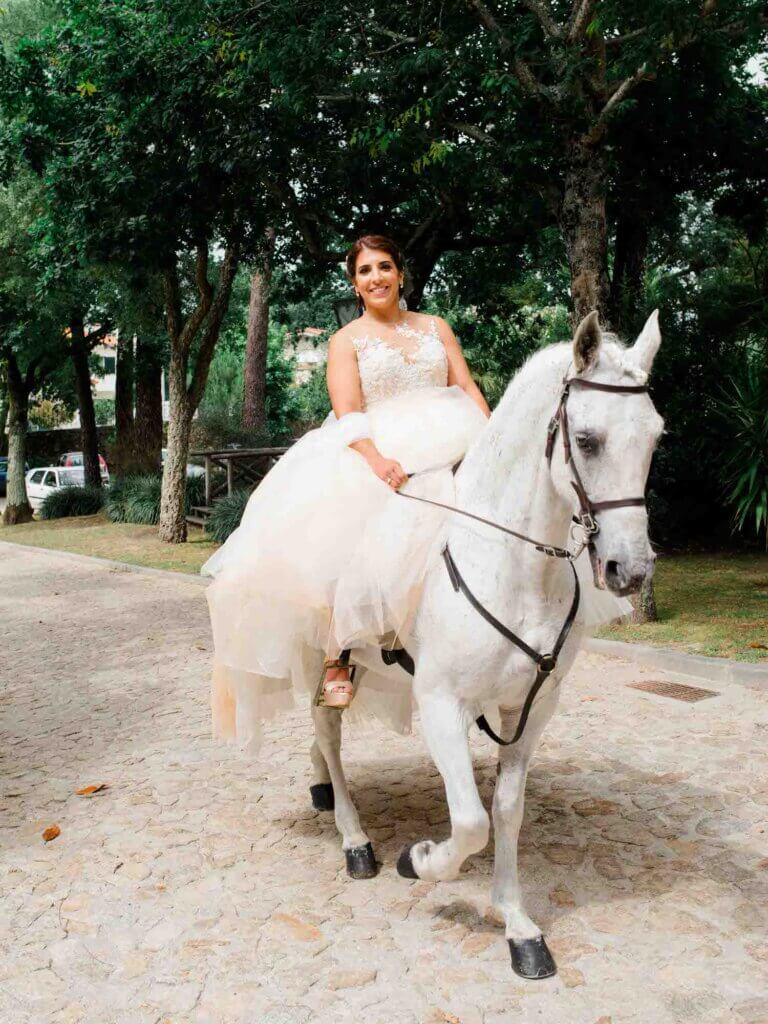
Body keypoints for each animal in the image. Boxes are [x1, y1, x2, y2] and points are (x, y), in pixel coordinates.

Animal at [309, 309, 663, 974]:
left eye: (656, 437)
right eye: (586, 440)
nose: (629, 571)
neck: (513, 565)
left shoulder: (531, 708)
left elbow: (505, 811)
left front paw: (517, 923)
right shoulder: (441, 703)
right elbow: (470, 821)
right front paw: (418, 860)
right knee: (328, 731)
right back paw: (354, 838)